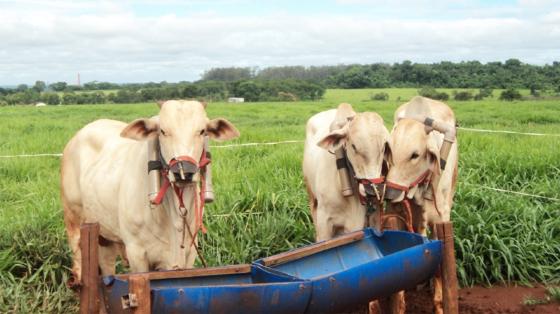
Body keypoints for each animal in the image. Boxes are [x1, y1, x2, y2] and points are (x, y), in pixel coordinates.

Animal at [60, 100, 238, 284]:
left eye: (202, 131)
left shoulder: (190, 252)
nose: (184, 172)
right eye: (163, 131)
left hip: (104, 235)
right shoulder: (136, 252)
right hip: (73, 219)